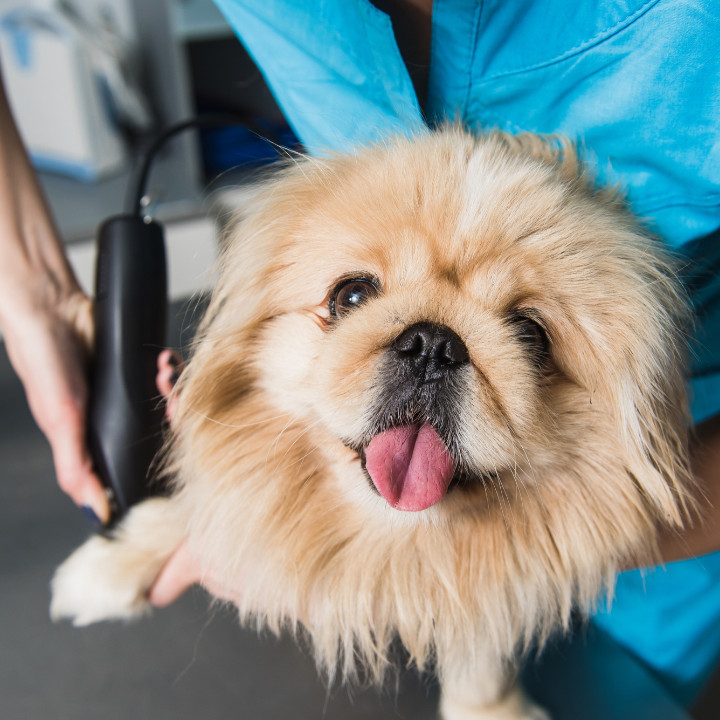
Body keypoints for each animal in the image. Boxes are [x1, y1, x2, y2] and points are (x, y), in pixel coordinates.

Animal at [53, 129, 696, 720]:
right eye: (352, 295)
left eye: (531, 336)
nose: (434, 344)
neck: (389, 540)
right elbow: (199, 511)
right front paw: (110, 567)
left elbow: (483, 641)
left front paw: (489, 710)